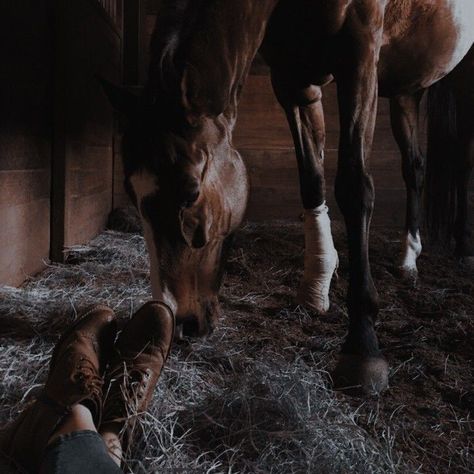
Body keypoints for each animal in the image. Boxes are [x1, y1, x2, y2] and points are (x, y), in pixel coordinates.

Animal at [101, 0, 474, 392]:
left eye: (191, 192)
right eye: (131, 191)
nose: (178, 320)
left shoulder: (359, 55)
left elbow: (355, 187)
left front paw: (363, 345)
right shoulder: (293, 78)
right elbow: (311, 179)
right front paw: (317, 285)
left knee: (462, 159)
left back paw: (463, 247)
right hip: (408, 88)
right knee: (414, 167)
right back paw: (408, 257)